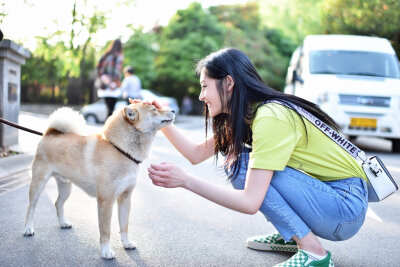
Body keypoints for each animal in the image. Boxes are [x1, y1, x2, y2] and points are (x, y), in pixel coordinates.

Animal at [23, 102, 175, 260]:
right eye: (154, 109)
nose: (173, 110)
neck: (120, 150)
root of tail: (49, 134)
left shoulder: (125, 198)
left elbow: (124, 225)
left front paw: (126, 243)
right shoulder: (106, 202)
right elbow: (106, 231)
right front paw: (106, 251)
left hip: (66, 188)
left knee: (58, 204)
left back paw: (63, 223)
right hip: (38, 184)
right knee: (31, 208)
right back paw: (28, 229)